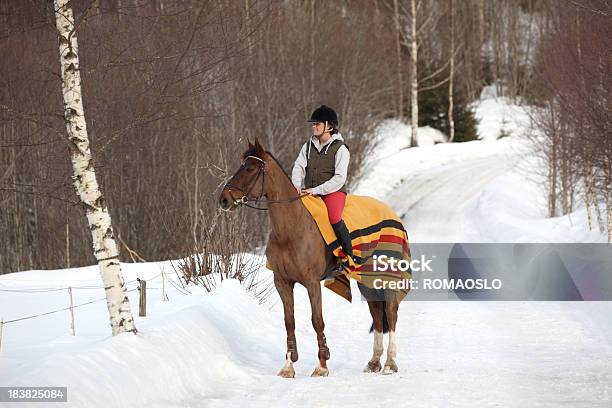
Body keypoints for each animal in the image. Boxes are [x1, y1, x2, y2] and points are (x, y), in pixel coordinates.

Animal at [218, 139, 400, 378]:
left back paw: (389, 363)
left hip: (385, 276)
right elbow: (289, 321)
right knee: (377, 312)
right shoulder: (283, 282)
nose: (224, 199)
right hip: (366, 280)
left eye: (249, 169)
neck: (291, 231)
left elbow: (317, 321)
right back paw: (374, 362)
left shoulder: (312, 283)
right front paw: (288, 366)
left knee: (390, 311)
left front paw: (322, 365)